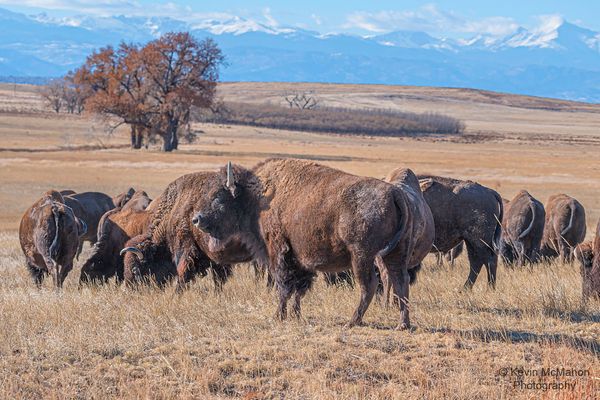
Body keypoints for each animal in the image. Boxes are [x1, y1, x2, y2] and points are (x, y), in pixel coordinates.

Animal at [192, 158, 418, 330]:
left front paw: (279, 315)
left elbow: (283, 286)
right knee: (401, 281)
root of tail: (395, 193)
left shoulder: (279, 251)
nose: (197, 219)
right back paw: (403, 324)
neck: (257, 196)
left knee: (369, 285)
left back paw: (353, 321)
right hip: (395, 254)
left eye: (219, 197)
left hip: (361, 256)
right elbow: (299, 288)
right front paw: (296, 315)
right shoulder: (302, 259)